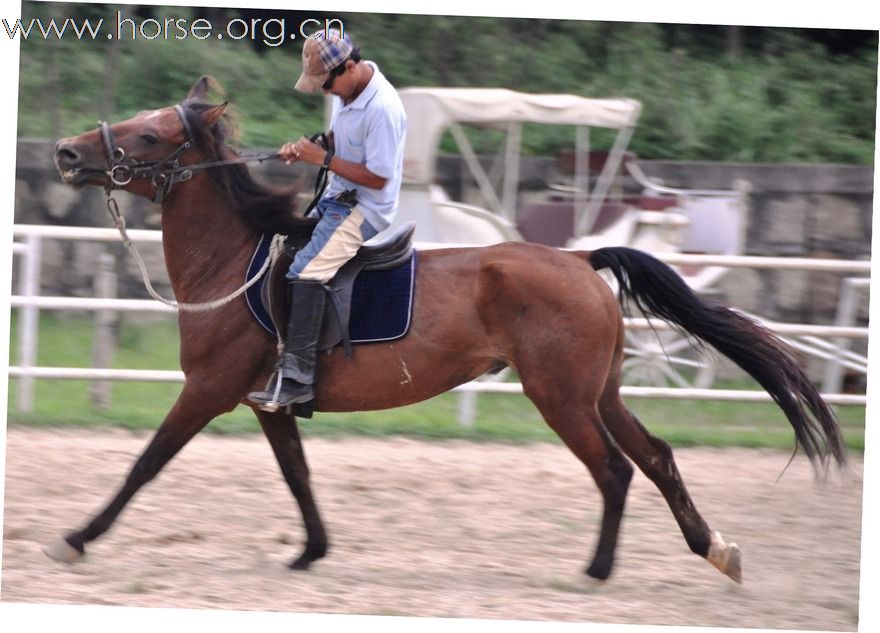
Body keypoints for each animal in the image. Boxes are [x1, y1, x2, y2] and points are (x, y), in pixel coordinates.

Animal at [48, 78, 844, 584]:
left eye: (149, 133)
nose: (65, 151)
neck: (232, 262)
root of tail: (578, 259)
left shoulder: (208, 390)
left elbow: (145, 463)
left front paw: (77, 537)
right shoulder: (265, 402)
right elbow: (298, 475)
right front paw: (312, 551)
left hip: (560, 397)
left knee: (615, 469)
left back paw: (597, 569)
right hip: (601, 392)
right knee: (657, 456)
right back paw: (713, 549)